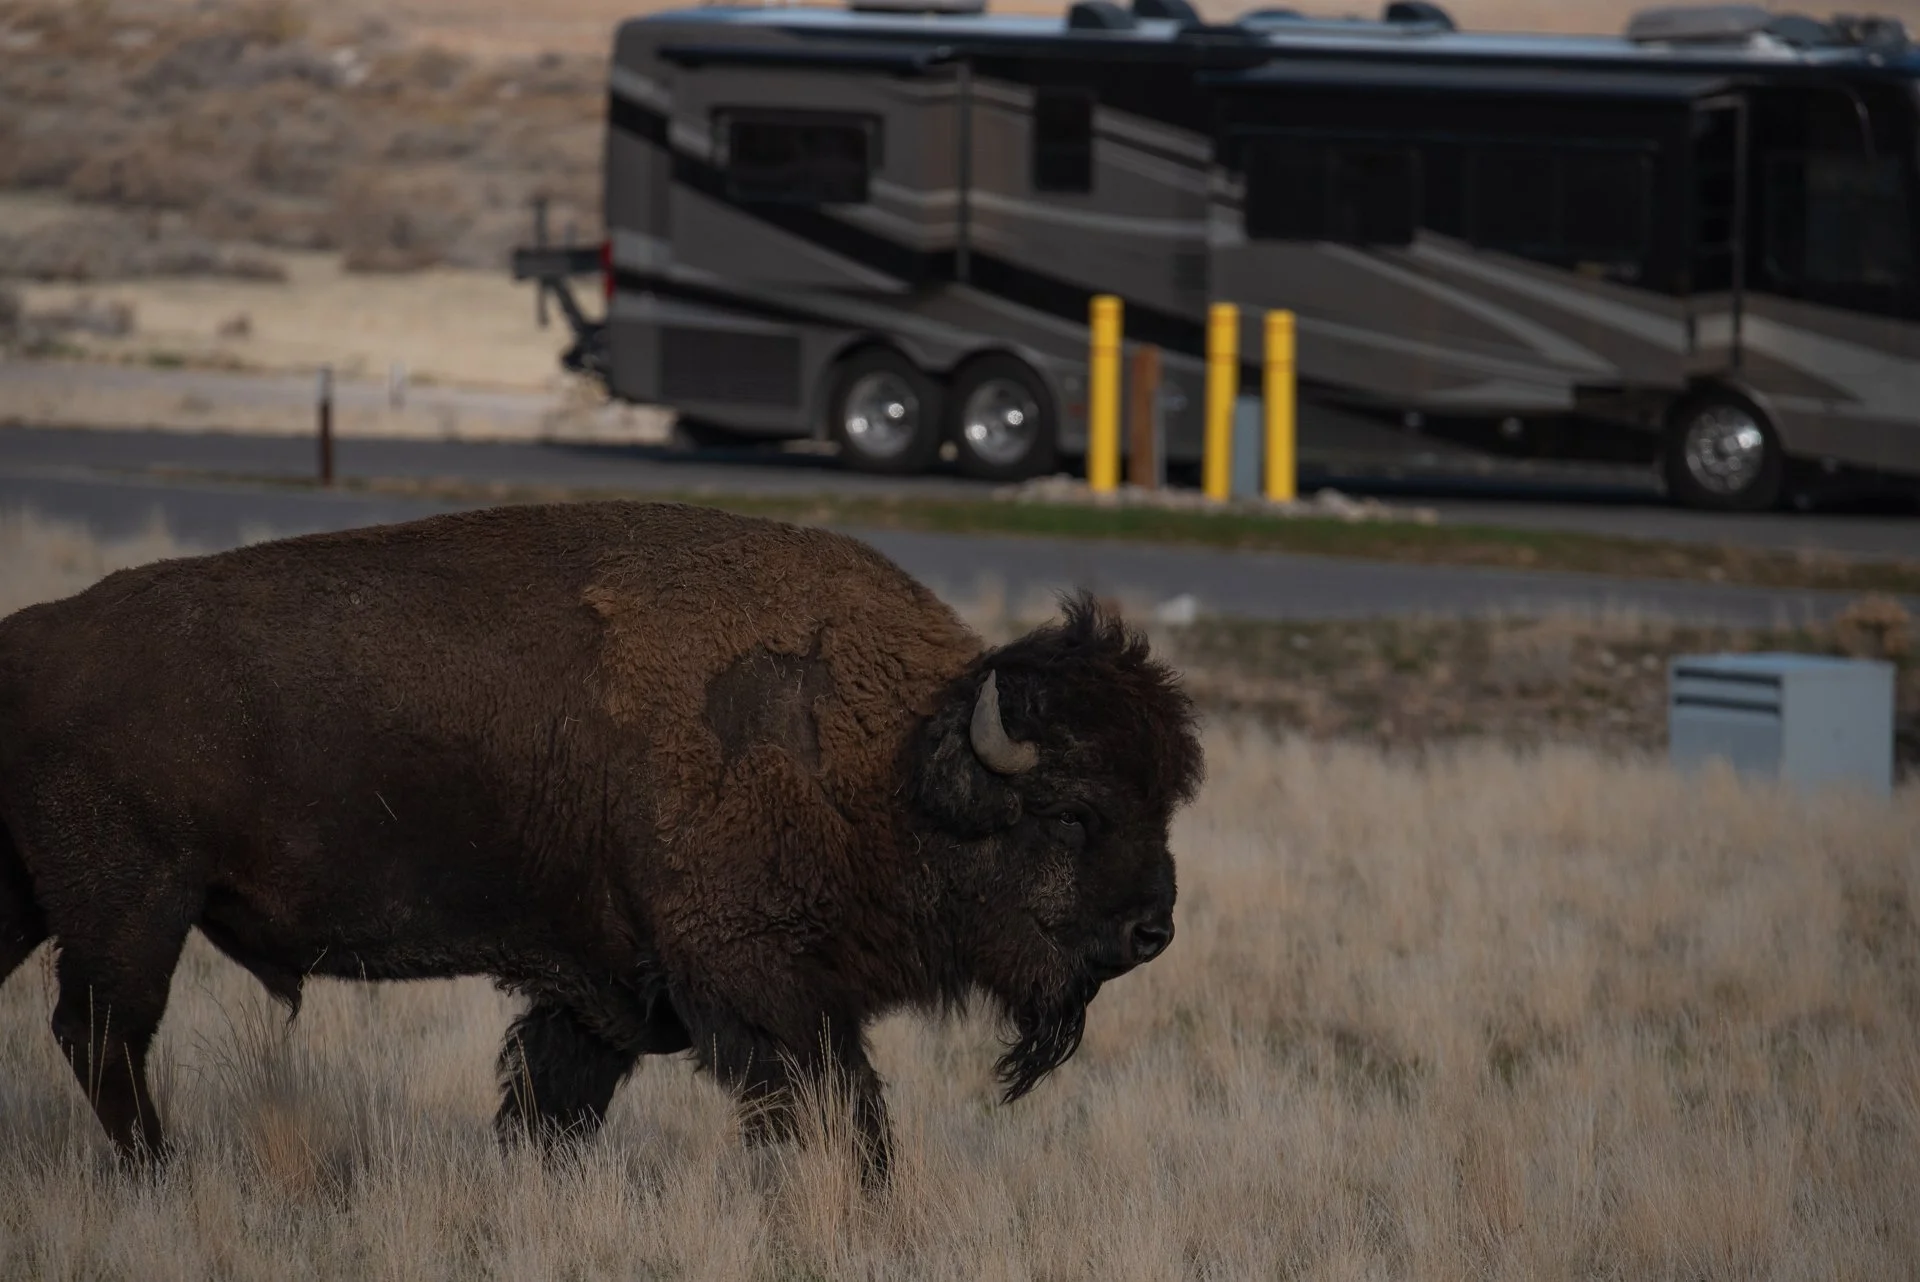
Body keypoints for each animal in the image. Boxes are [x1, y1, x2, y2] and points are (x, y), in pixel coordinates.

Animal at [0, 501, 1202, 1181]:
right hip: (134, 904)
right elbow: (844, 1118)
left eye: (1167, 797)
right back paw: (160, 1174)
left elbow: (547, 1105)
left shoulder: (605, 998)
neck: (885, 756)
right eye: (1072, 810)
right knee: (102, 1034)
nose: (1153, 929)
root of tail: (26, 641)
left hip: (32, 898)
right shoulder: (764, 994)